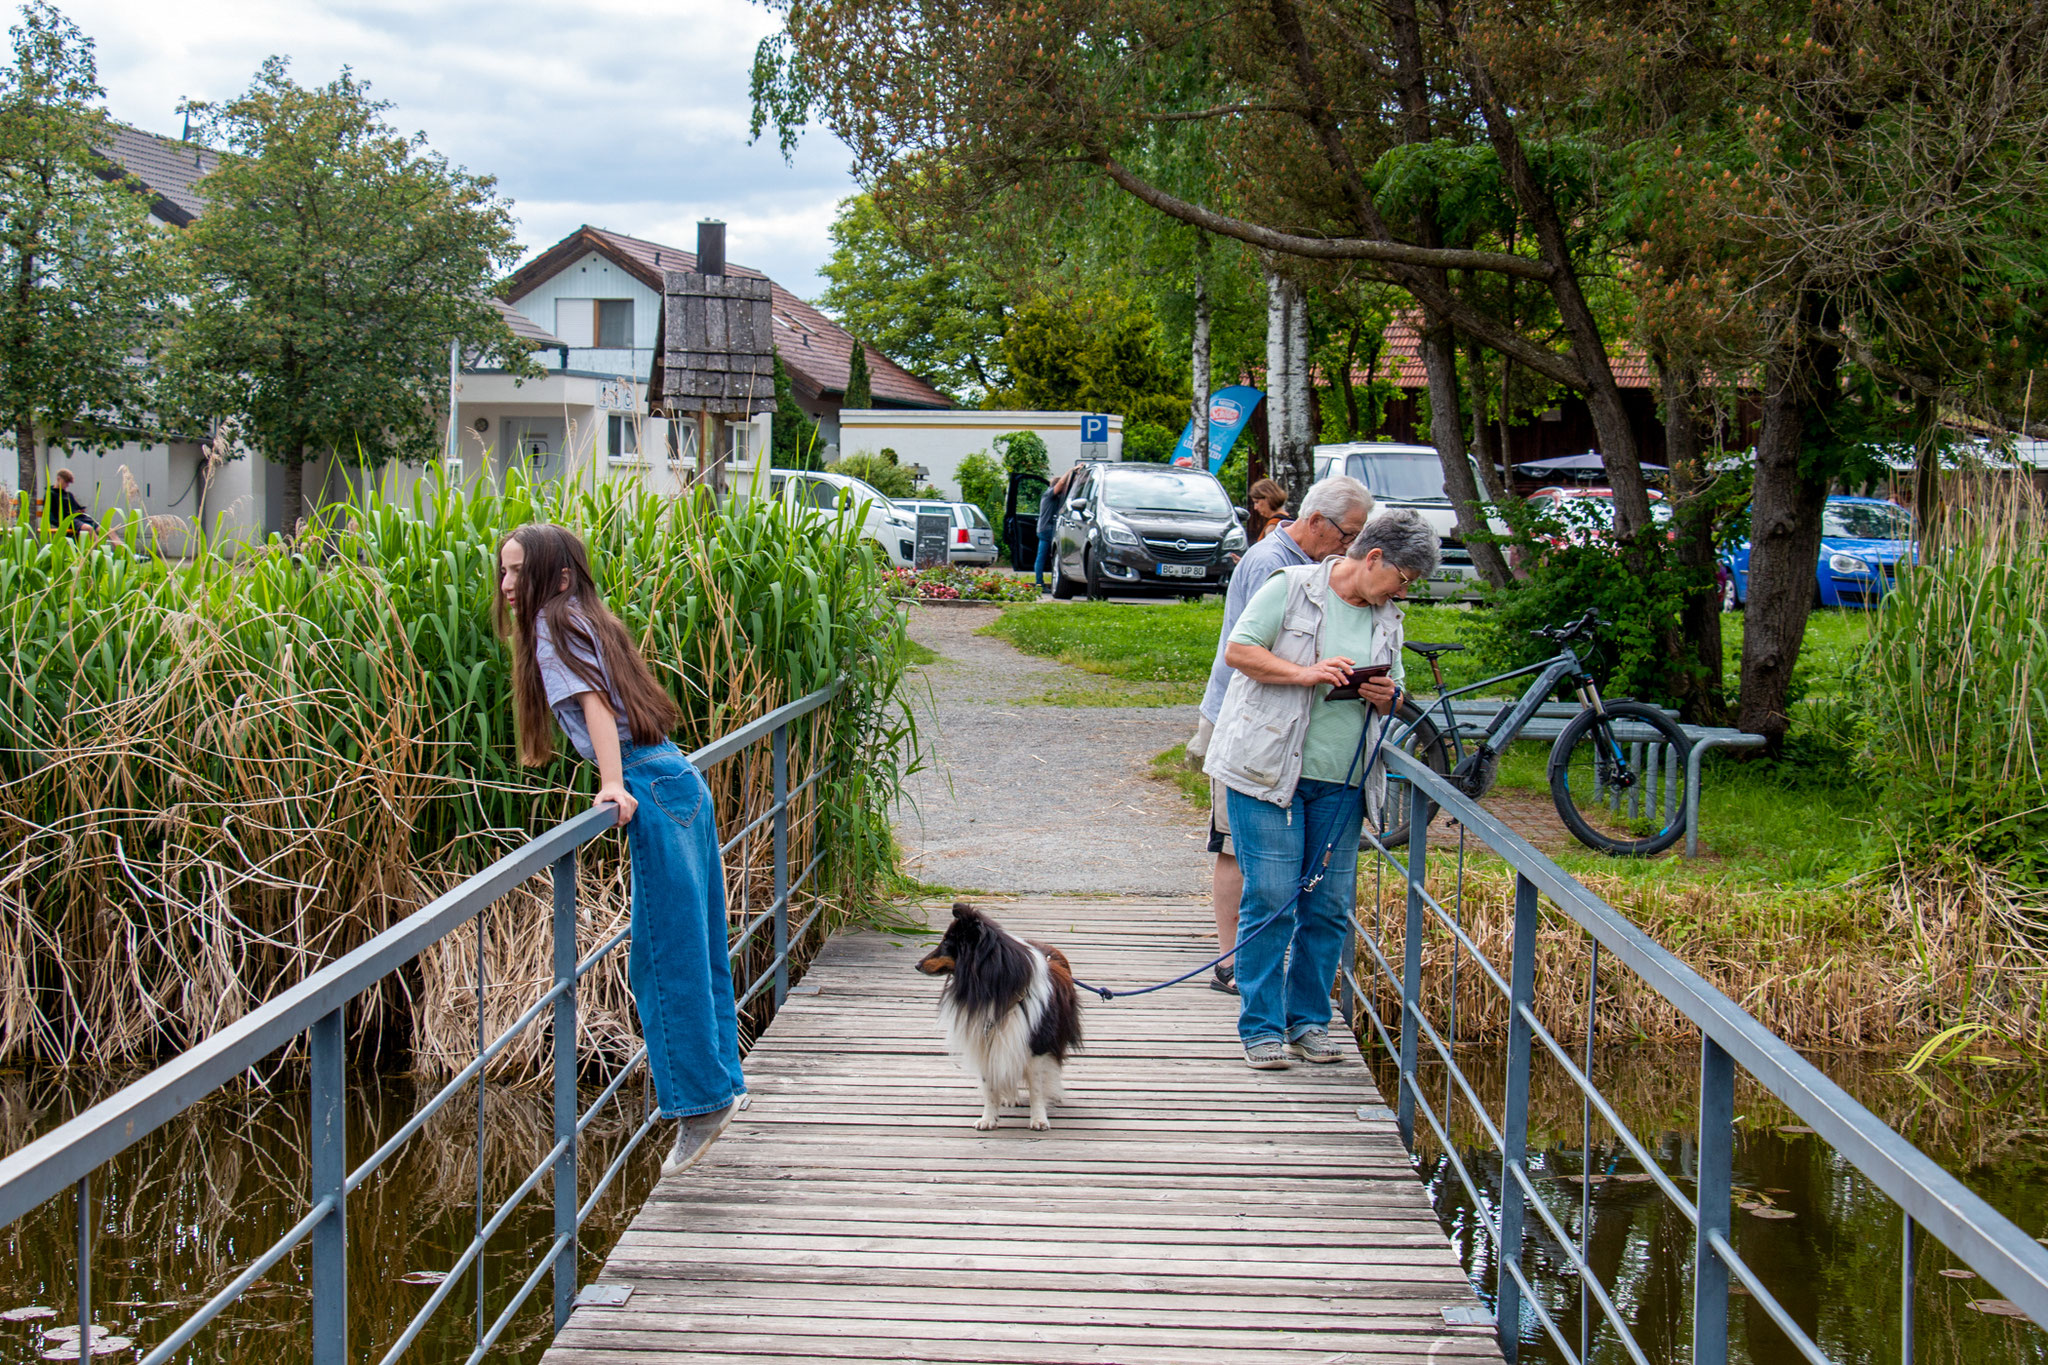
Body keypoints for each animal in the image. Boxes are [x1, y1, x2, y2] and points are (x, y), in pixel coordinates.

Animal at [917, 908, 1081, 1129]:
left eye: (946, 943)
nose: (917, 965)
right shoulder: (985, 1042)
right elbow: (989, 1086)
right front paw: (988, 1119)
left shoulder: (1036, 1045)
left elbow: (1036, 1088)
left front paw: (1039, 1119)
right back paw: (1011, 1098)